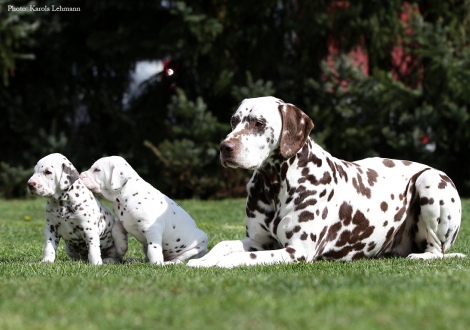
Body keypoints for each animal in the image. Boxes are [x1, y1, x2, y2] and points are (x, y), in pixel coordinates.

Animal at [80, 156, 208, 264]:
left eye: (97, 170)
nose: (80, 175)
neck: (125, 195)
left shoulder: (153, 229)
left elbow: (154, 249)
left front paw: (157, 264)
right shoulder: (125, 222)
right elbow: (116, 229)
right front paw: (121, 247)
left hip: (196, 248)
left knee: (179, 260)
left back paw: (168, 263)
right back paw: (134, 260)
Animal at [188, 95, 466, 268]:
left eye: (258, 123)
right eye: (234, 121)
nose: (225, 147)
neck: (275, 185)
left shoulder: (296, 251)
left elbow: (237, 258)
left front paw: (219, 263)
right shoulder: (258, 242)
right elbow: (224, 245)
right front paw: (202, 260)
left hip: (431, 181)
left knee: (437, 250)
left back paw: (423, 257)